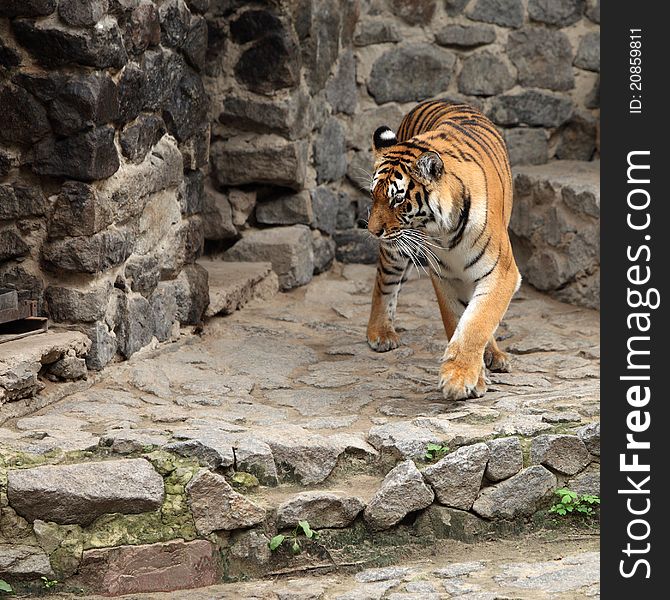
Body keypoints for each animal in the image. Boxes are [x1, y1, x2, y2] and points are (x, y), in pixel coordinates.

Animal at [364, 101, 524, 400]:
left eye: (397, 199)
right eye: (373, 195)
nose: (372, 230)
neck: (446, 231)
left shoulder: (501, 272)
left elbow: (477, 321)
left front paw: (459, 378)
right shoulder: (445, 276)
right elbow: (456, 320)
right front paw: (470, 379)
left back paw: (495, 355)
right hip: (397, 250)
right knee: (384, 281)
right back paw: (380, 333)